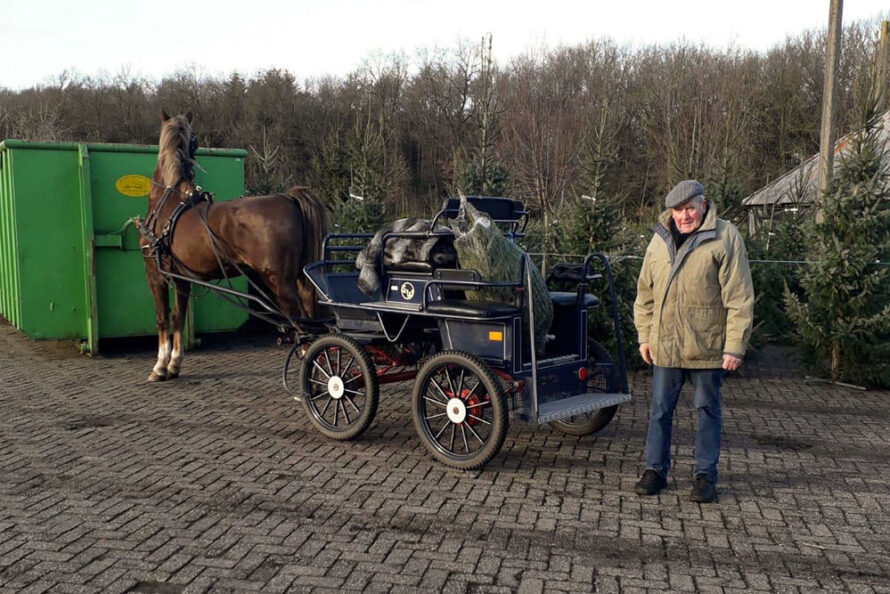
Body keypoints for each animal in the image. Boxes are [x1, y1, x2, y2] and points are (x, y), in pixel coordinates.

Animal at [140, 110, 328, 380]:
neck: (169, 202)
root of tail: (288, 197)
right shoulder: (182, 278)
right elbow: (177, 318)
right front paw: (174, 363)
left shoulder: (155, 275)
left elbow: (162, 318)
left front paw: (160, 366)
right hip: (301, 280)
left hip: (280, 283)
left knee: (303, 327)